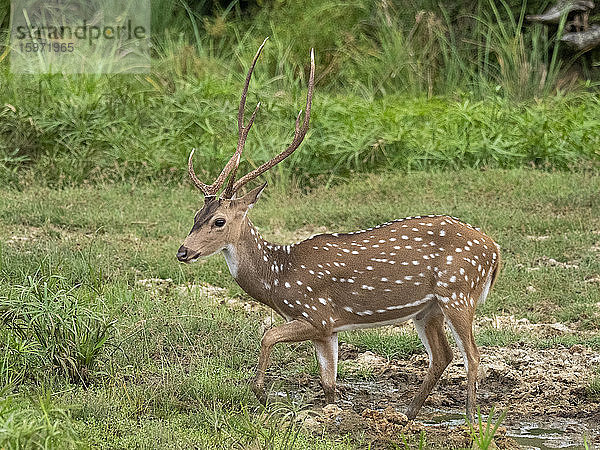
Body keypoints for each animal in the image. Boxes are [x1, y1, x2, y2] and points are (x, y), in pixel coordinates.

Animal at [177, 39, 502, 422]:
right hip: (429, 309)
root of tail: (495, 251)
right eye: (196, 213)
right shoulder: (327, 331)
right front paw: (328, 409)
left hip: (458, 292)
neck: (278, 278)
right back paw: (407, 413)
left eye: (220, 221)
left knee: (473, 356)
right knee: (444, 355)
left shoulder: (315, 313)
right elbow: (328, 383)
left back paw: (470, 418)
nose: (183, 251)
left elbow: (267, 335)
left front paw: (260, 393)